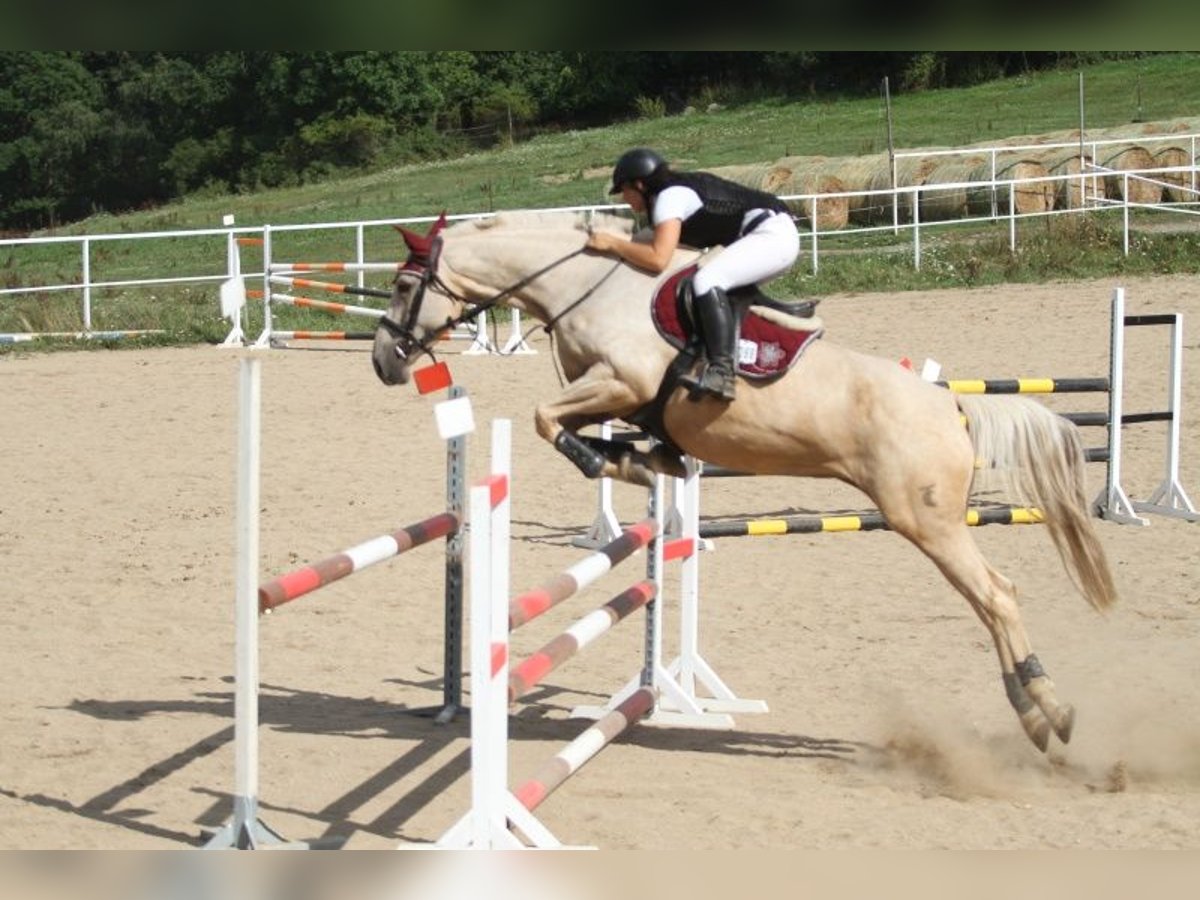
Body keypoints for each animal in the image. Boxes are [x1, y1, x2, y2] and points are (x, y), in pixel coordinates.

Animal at [372, 211, 1113, 753]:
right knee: (992, 600)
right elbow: (569, 424)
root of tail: (950, 406)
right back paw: (1035, 712)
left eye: (404, 287)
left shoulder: (622, 382)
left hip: (924, 518)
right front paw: (647, 460)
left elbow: (545, 419)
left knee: (997, 596)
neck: (592, 286)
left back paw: (1046, 712)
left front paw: (623, 461)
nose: (383, 361)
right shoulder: (611, 394)